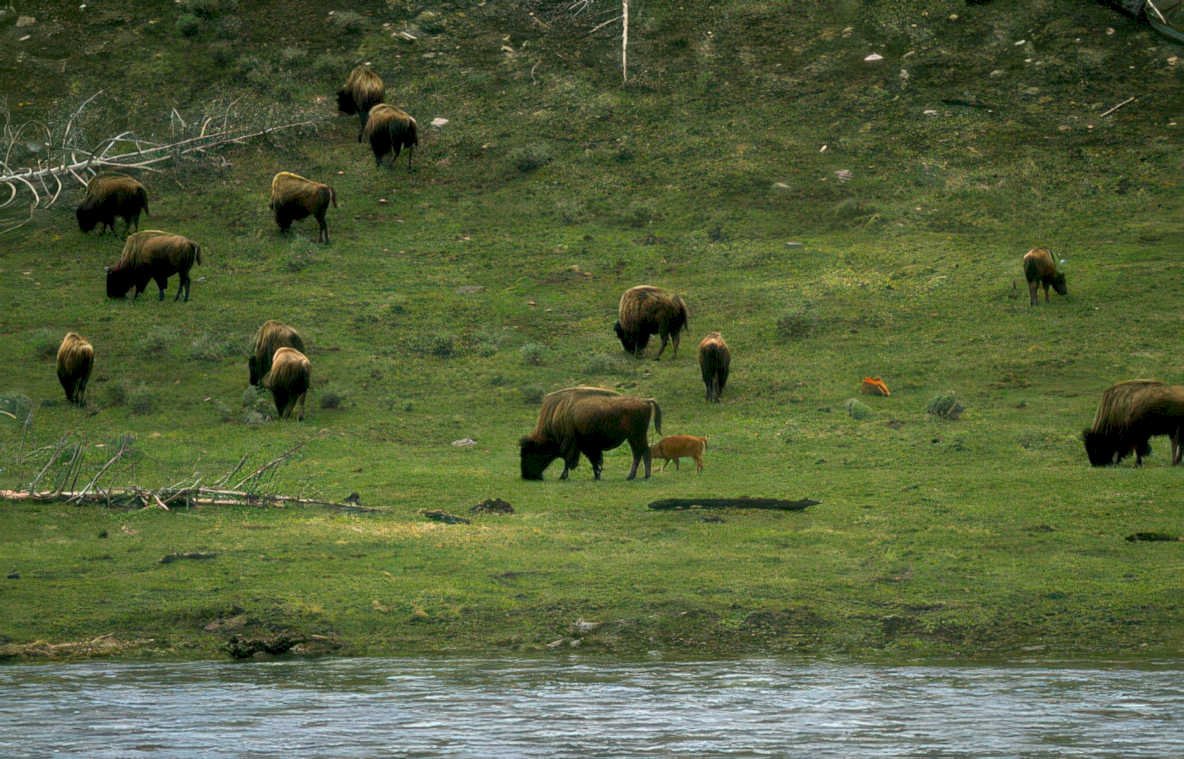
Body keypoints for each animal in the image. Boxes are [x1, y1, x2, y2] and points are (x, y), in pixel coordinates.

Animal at [519, 386, 662, 481]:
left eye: (530, 452)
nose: (526, 476)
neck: (558, 412)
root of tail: (645, 400)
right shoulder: (587, 445)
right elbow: (594, 459)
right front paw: (597, 475)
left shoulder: (572, 443)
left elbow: (568, 459)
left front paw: (563, 476)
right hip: (633, 437)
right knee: (639, 452)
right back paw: (635, 476)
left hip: (637, 435)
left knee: (643, 451)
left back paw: (640, 476)